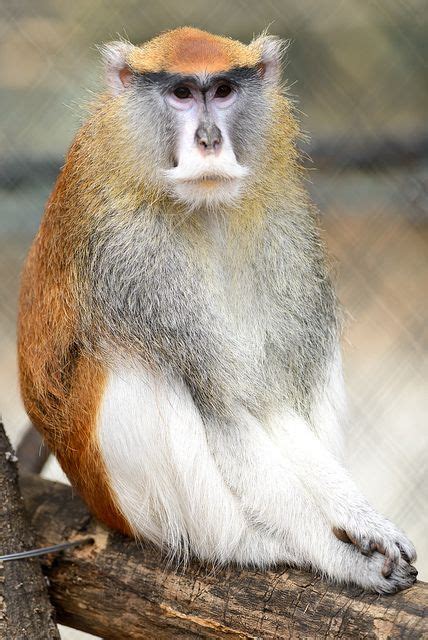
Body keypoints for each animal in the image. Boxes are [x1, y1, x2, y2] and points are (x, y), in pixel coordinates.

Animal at [18, 27, 417, 594]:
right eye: (182, 93)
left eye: (224, 91)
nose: (209, 140)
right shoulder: (132, 257)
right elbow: (226, 410)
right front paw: (334, 551)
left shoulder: (279, 223)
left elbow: (268, 403)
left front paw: (360, 518)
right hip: (143, 508)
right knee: (137, 363)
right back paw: (266, 547)